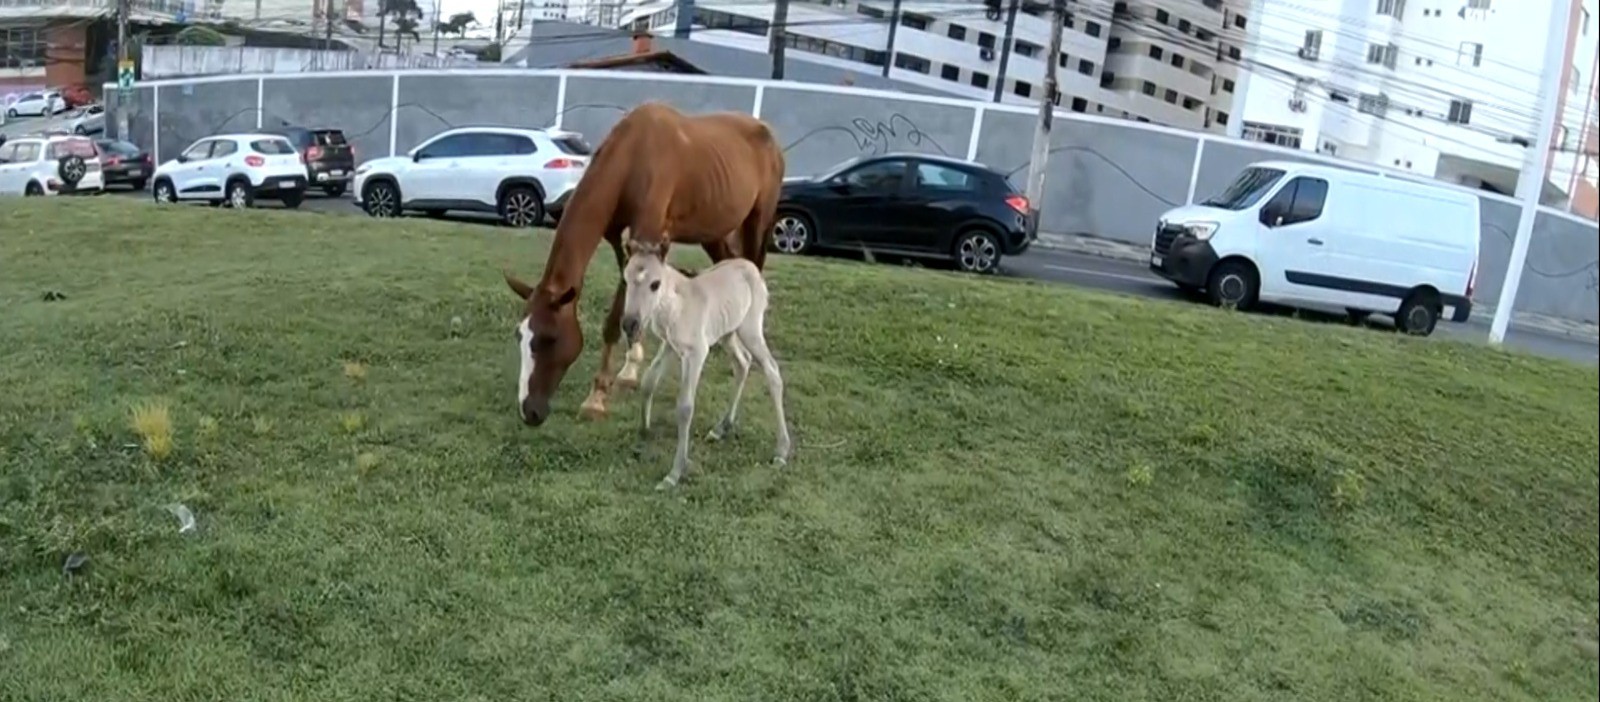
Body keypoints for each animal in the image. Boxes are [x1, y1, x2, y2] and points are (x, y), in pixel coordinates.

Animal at [502, 101, 784, 425]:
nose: (529, 411)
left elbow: (617, 318)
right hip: (714, 232)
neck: (633, 158)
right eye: (520, 335)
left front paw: (598, 396)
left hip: (757, 223)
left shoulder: (647, 236)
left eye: (549, 338)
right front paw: (629, 369)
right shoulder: (620, 240)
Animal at [620, 251, 790, 489]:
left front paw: (674, 473)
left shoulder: (697, 353)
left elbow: (685, 407)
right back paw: (722, 427)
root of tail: (752, 267)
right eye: (625, 279)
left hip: (750, 330)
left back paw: (782, 451)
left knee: (772, 371)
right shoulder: (669, 345)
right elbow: (648, 381)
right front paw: (644, 431)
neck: (676, 306)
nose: (630, 324)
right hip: (728, 332)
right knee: (742, 363)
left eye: (655, 284)